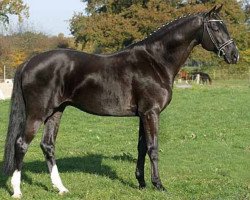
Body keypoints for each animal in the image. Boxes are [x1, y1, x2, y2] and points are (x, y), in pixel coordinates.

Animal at [3, 5, 238, 198]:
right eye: (215, 27)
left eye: (224, 25)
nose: (233, 55)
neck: (155, 61)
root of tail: (29, 62)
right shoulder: (151, 113)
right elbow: (153, 148)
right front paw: (158, 185)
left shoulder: (143, 114)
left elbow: (142, 148)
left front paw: (141, 183)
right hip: (38, 113)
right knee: (21, 144)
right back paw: (17, 191)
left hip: (56, 111)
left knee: (48, 145)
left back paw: (61, 188)